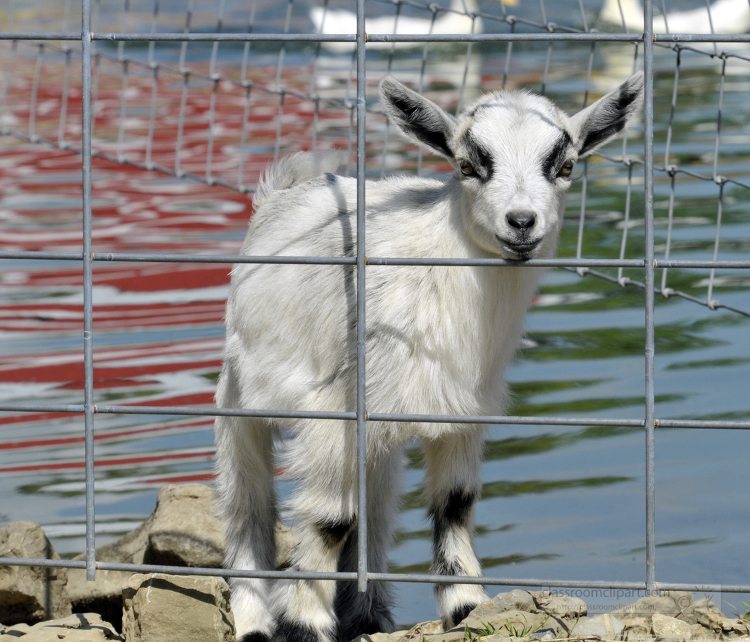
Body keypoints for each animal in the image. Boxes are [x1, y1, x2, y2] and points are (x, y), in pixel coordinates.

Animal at [214, 72, 644, 640]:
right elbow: (330, 520)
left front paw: (468, 608)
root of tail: (286, 188)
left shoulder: (463, 409)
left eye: (566, 166)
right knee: (247, 501)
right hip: (242, 391)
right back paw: (255, 621)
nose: (522, 222)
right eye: (466, 166)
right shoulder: (336, 409)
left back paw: (367, 614)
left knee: (374, 504)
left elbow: (454, 504)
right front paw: (305, 625)